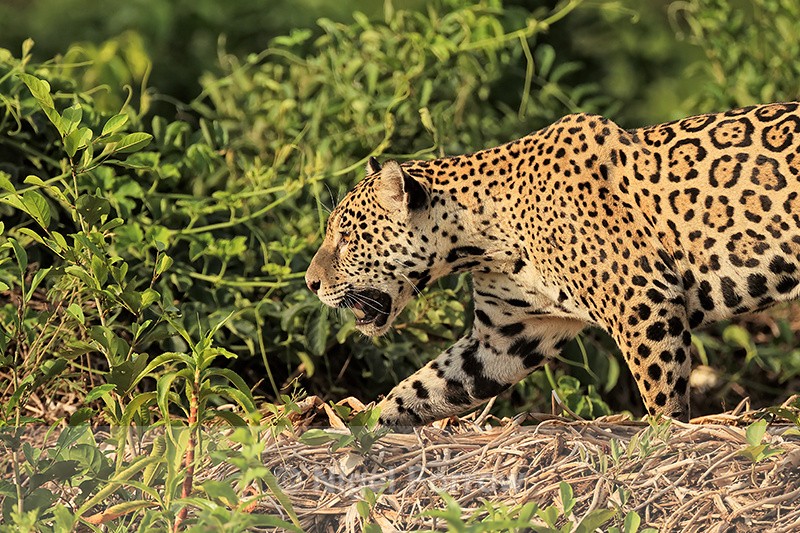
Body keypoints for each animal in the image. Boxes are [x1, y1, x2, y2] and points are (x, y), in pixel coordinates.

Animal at [305, 102, 800, 426]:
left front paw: (665, 434)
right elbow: (428, 384)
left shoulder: (642, 301)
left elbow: (661, 390)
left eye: (346, 237)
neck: (485, 240)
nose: (310, 283)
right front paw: (365, 427)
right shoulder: (505, 336)